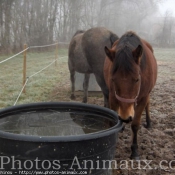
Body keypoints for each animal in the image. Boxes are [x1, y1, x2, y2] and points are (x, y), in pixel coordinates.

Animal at [104, 31, 157, 160]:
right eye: (113, 79)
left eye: (137, 79)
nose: (125, 117)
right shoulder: (113, 97)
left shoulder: (143, 98)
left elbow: (135, 125)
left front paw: (134, 151)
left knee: (148, 104)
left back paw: (149, 122)